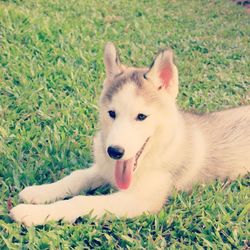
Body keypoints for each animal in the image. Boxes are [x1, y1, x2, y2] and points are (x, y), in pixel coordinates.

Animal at [10, 42, 250, 226]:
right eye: (112, 113)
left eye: (141, 116)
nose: (115, 152)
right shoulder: (105, 167)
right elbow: (76, 176)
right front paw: (41, 192)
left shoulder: (140, 201)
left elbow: (82, 201)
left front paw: (34, 213)